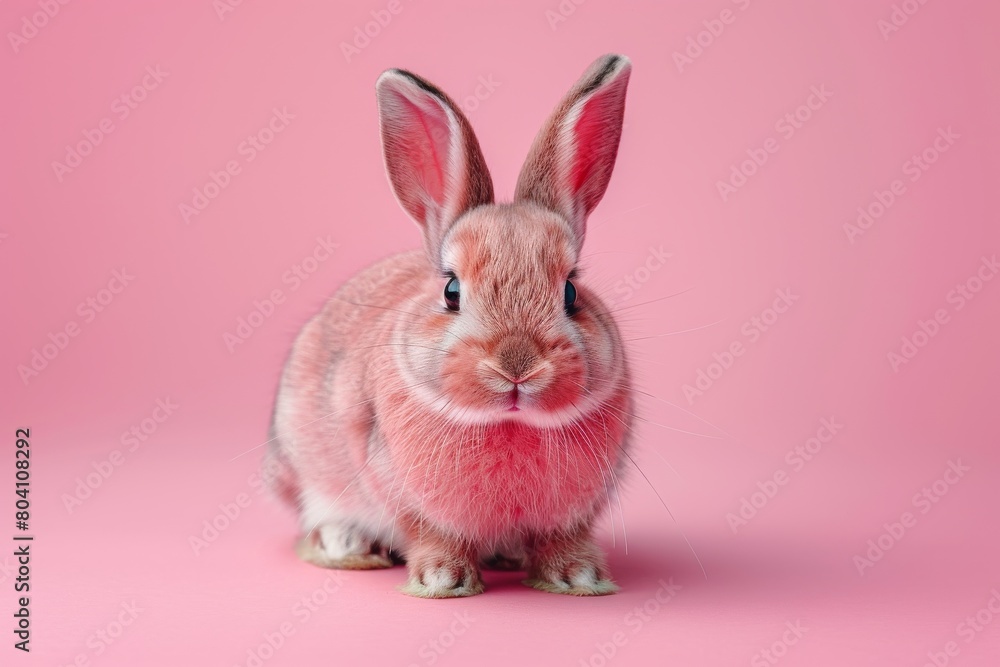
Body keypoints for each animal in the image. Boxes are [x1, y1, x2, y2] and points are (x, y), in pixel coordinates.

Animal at [266, 54, 634, 597]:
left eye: (571, 291)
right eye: (451, 291)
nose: (516, 365)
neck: (509, 423)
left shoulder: (575, 511)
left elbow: (562, 539)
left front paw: (579, 578)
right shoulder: (401, 488)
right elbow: (432, 534)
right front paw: (442, 580)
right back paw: (345, 544)